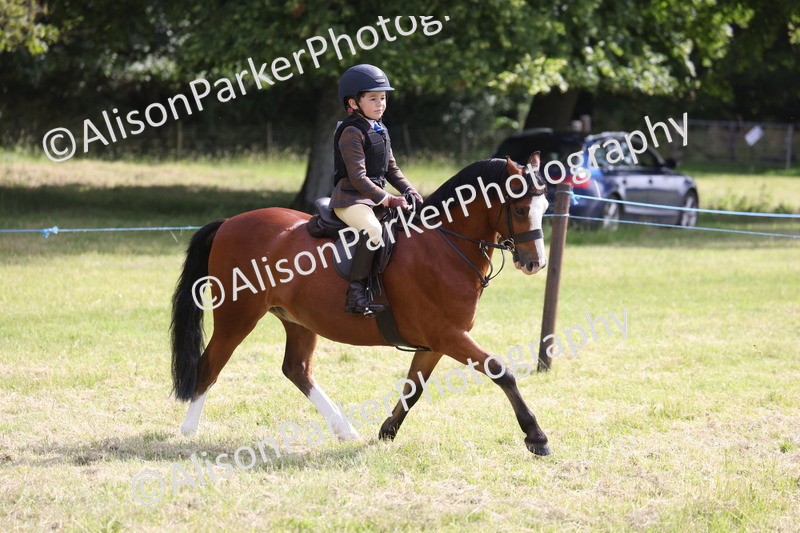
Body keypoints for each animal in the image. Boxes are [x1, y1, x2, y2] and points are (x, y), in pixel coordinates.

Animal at [171, 153, 553, 455]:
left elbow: (413, 388)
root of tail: (230, 222)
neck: (445, 244)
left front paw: (386, 432)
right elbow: (501, 372)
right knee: (210, 364)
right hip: (237, 315)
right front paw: (536, 436)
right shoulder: (447, 335)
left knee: (297, 369)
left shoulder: (435, 342)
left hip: (298, 320)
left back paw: (345, 431)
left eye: (545, 208)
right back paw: (188, 431)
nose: (535, 263)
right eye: (521, 208)